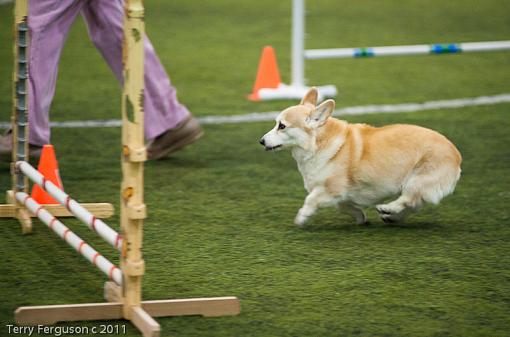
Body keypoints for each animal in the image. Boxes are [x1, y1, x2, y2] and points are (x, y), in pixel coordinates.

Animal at [258, 89, 462, 226]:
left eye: (282, 126)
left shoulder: (332, 189)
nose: (261, 141)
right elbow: (346, 207)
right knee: (414, 205)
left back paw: (388, 209)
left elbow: (311, 200)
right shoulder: (339, 196)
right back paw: (391, 217)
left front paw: (302, 217)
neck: (317, 144)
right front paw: (360, 218)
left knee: (409, 200)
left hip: (417, 180)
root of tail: (457, 156)